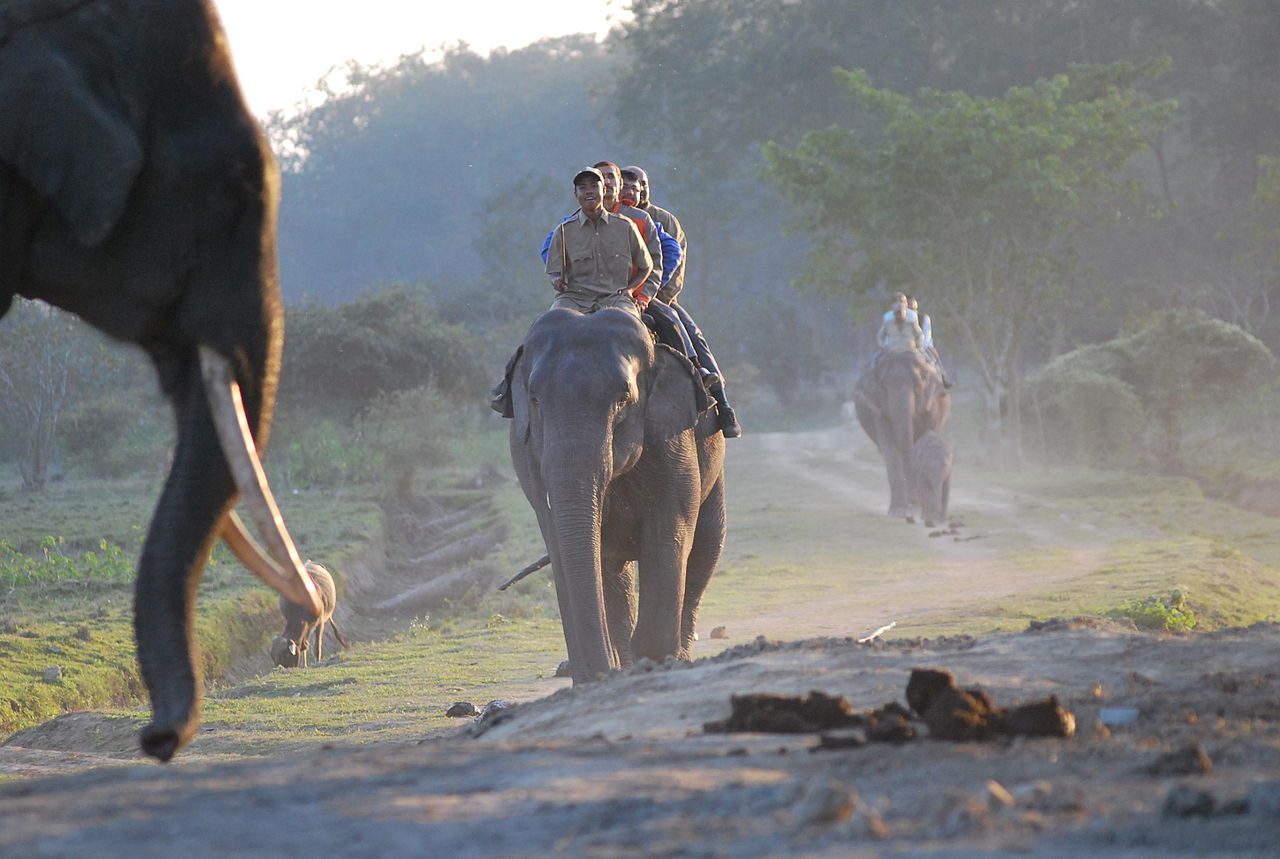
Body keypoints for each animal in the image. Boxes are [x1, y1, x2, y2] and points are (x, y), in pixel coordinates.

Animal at [509, 309, 732, 686]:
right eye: (535, 399)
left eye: (622, 400)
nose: (598, 674)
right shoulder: (530, 459)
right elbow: (561, 540)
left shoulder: (672, 436)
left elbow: (670, 531)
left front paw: (654, 662)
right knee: (613, 566)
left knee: (706, 545)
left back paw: (676, 658)